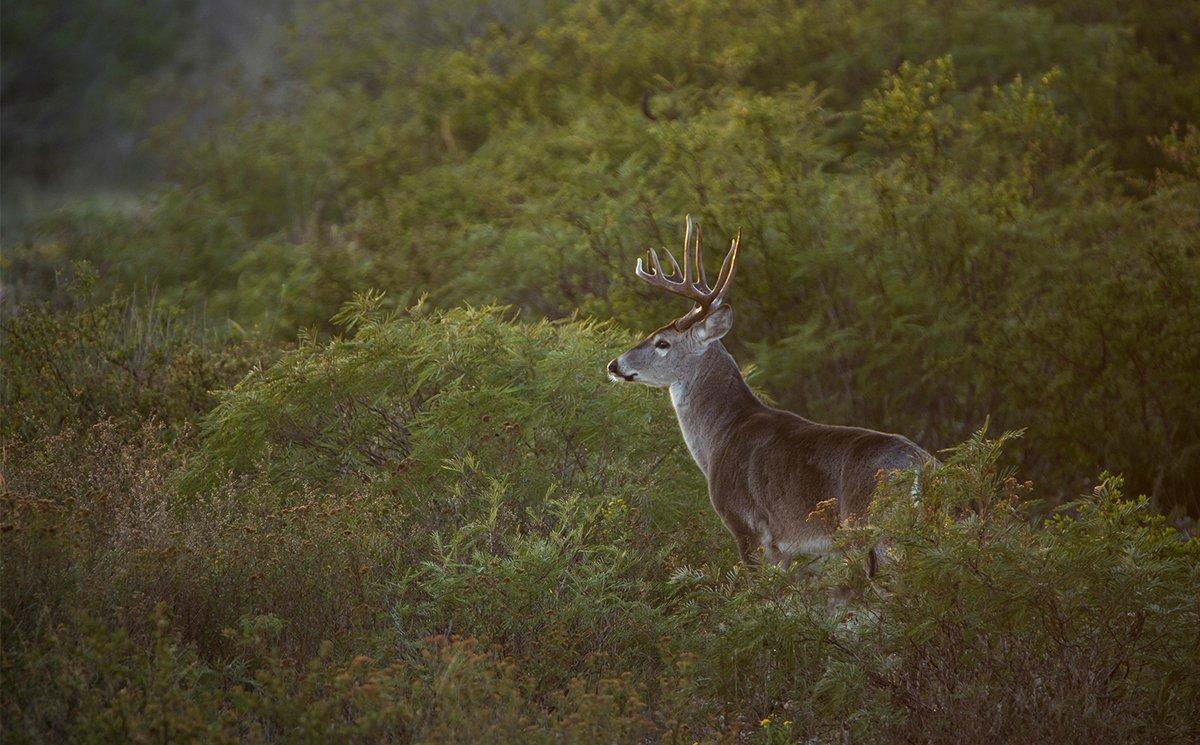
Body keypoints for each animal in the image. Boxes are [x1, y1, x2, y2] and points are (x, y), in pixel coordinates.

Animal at [604, 218, 931, 573]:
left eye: (662, 342)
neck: (721, 437)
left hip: (874, 528)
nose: (614, 364)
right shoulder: (796, 551)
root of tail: (921, 467)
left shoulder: (746, 525)